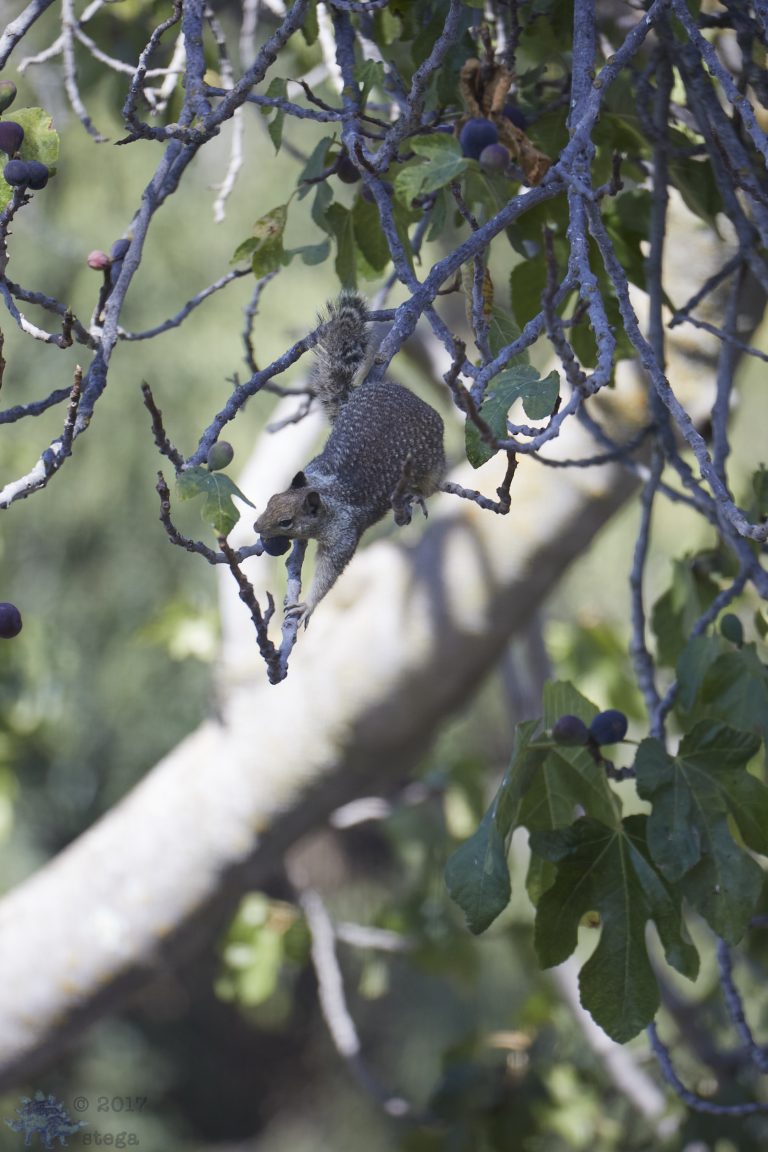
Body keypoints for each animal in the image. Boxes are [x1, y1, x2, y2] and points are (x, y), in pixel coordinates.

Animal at [254, 292, 446, 624]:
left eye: (286, 521)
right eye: (271, 499)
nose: (256, 527)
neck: (327, 492)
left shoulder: (344, 535)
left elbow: (330, 572)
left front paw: (307, 604)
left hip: (432, 464)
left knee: (432, 481)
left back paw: (417, 495)